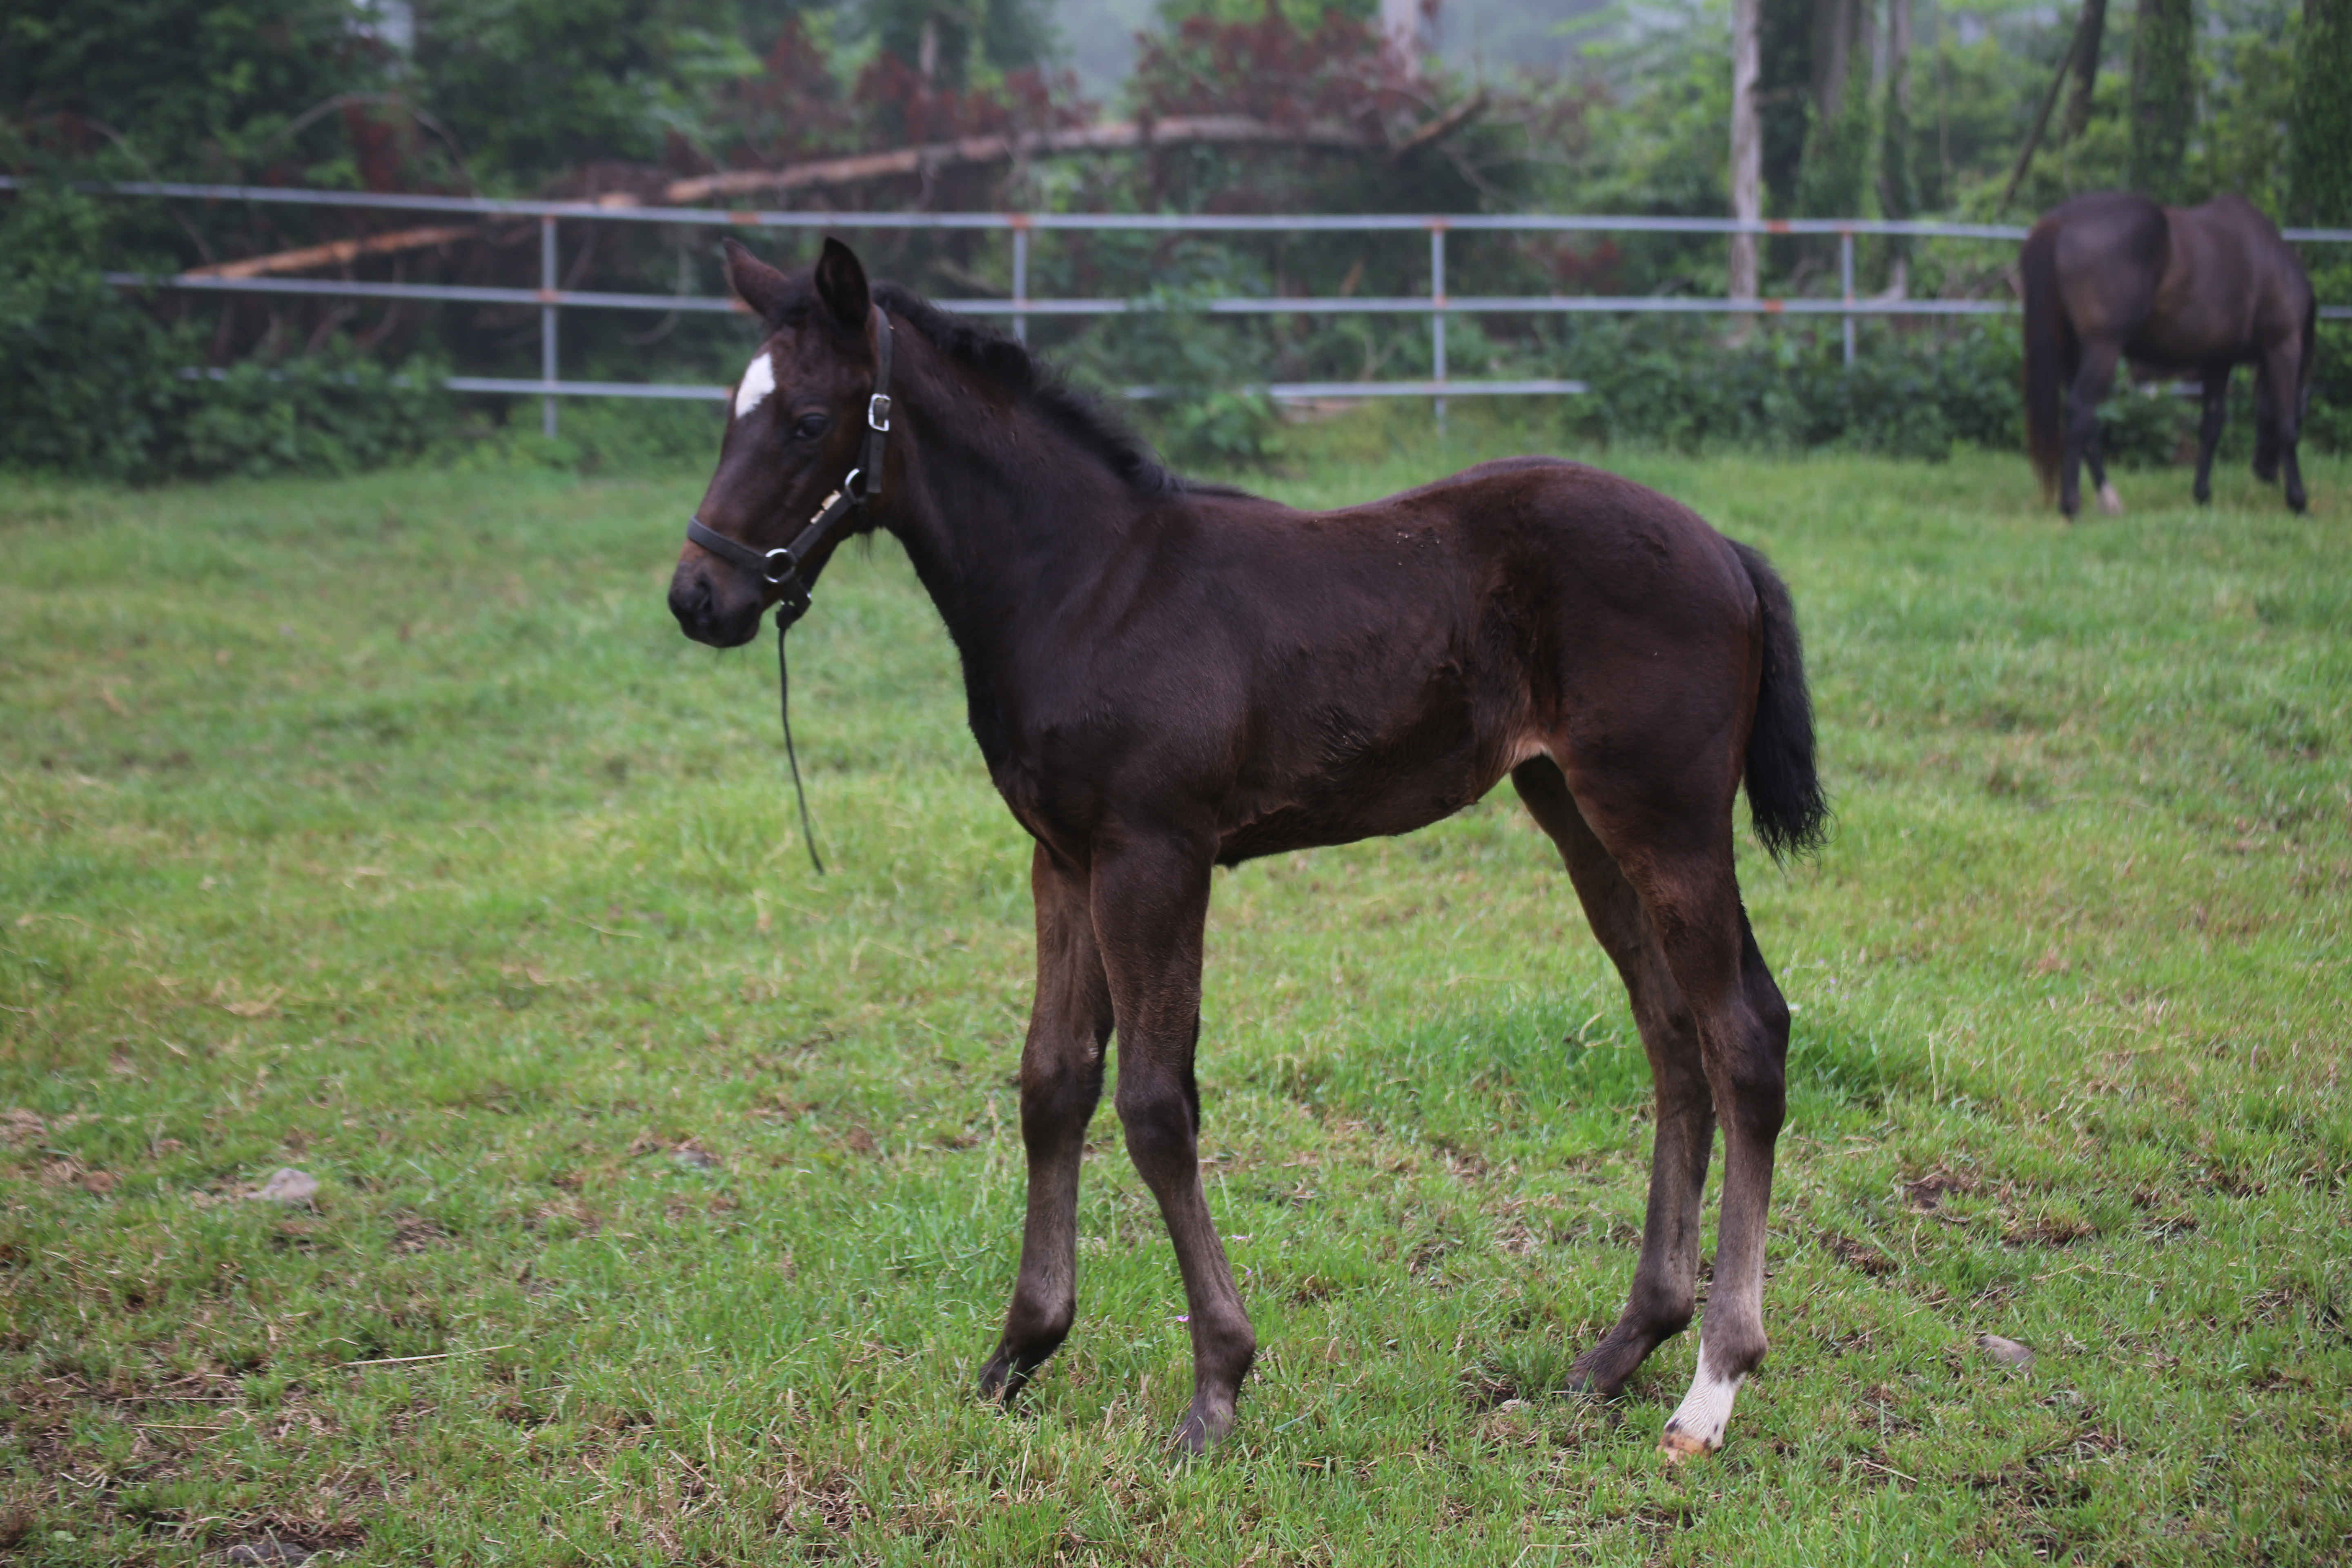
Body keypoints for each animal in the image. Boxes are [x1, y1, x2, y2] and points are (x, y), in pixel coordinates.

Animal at [673, 236, 1825, 1457]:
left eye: (807, 420)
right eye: (733, 411)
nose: (697, 596)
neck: (1086, 586)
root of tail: (1724, 550)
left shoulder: (1155, 853)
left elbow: (1154, 1103)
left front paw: (1216, 1385)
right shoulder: (1063, 857)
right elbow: (1052, 1083)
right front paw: (1017, 1352)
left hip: (1666, 816)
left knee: (1743, 1034)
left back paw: (1712, 1384)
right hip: (1575, 810)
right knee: (1670, 1034)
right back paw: (1623, 1347)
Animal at [2022, 192, 2314, 514]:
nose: (2265, 470)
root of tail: (2061, 220)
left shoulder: (2218, 360)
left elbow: (2212, 425)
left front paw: (2202, 495)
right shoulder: (2283, 348)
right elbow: (2286, 425)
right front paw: (2298, 500)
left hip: (2074, 352)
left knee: (2088, 423)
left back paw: (2108, 498)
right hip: (2103, 348)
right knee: (2079, 409)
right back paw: (2072, 503)